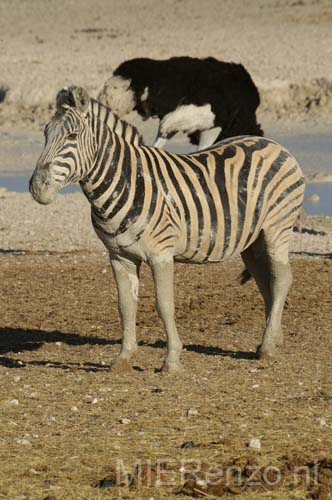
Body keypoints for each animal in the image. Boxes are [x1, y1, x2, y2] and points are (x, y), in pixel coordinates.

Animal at [29, 86, 304, 374]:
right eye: (45, 134)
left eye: (72, 136)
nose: (37, 188)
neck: (126, 180)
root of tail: (272, 143)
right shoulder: (119, 256)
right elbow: (125, 305)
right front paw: (123, 358)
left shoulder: (160, 254)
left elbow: (164, 305)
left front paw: (171, 360)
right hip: (251, 241)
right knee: (266, 280)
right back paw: (273, 337)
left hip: (276, 228)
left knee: (282, 278)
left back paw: (268, 347)